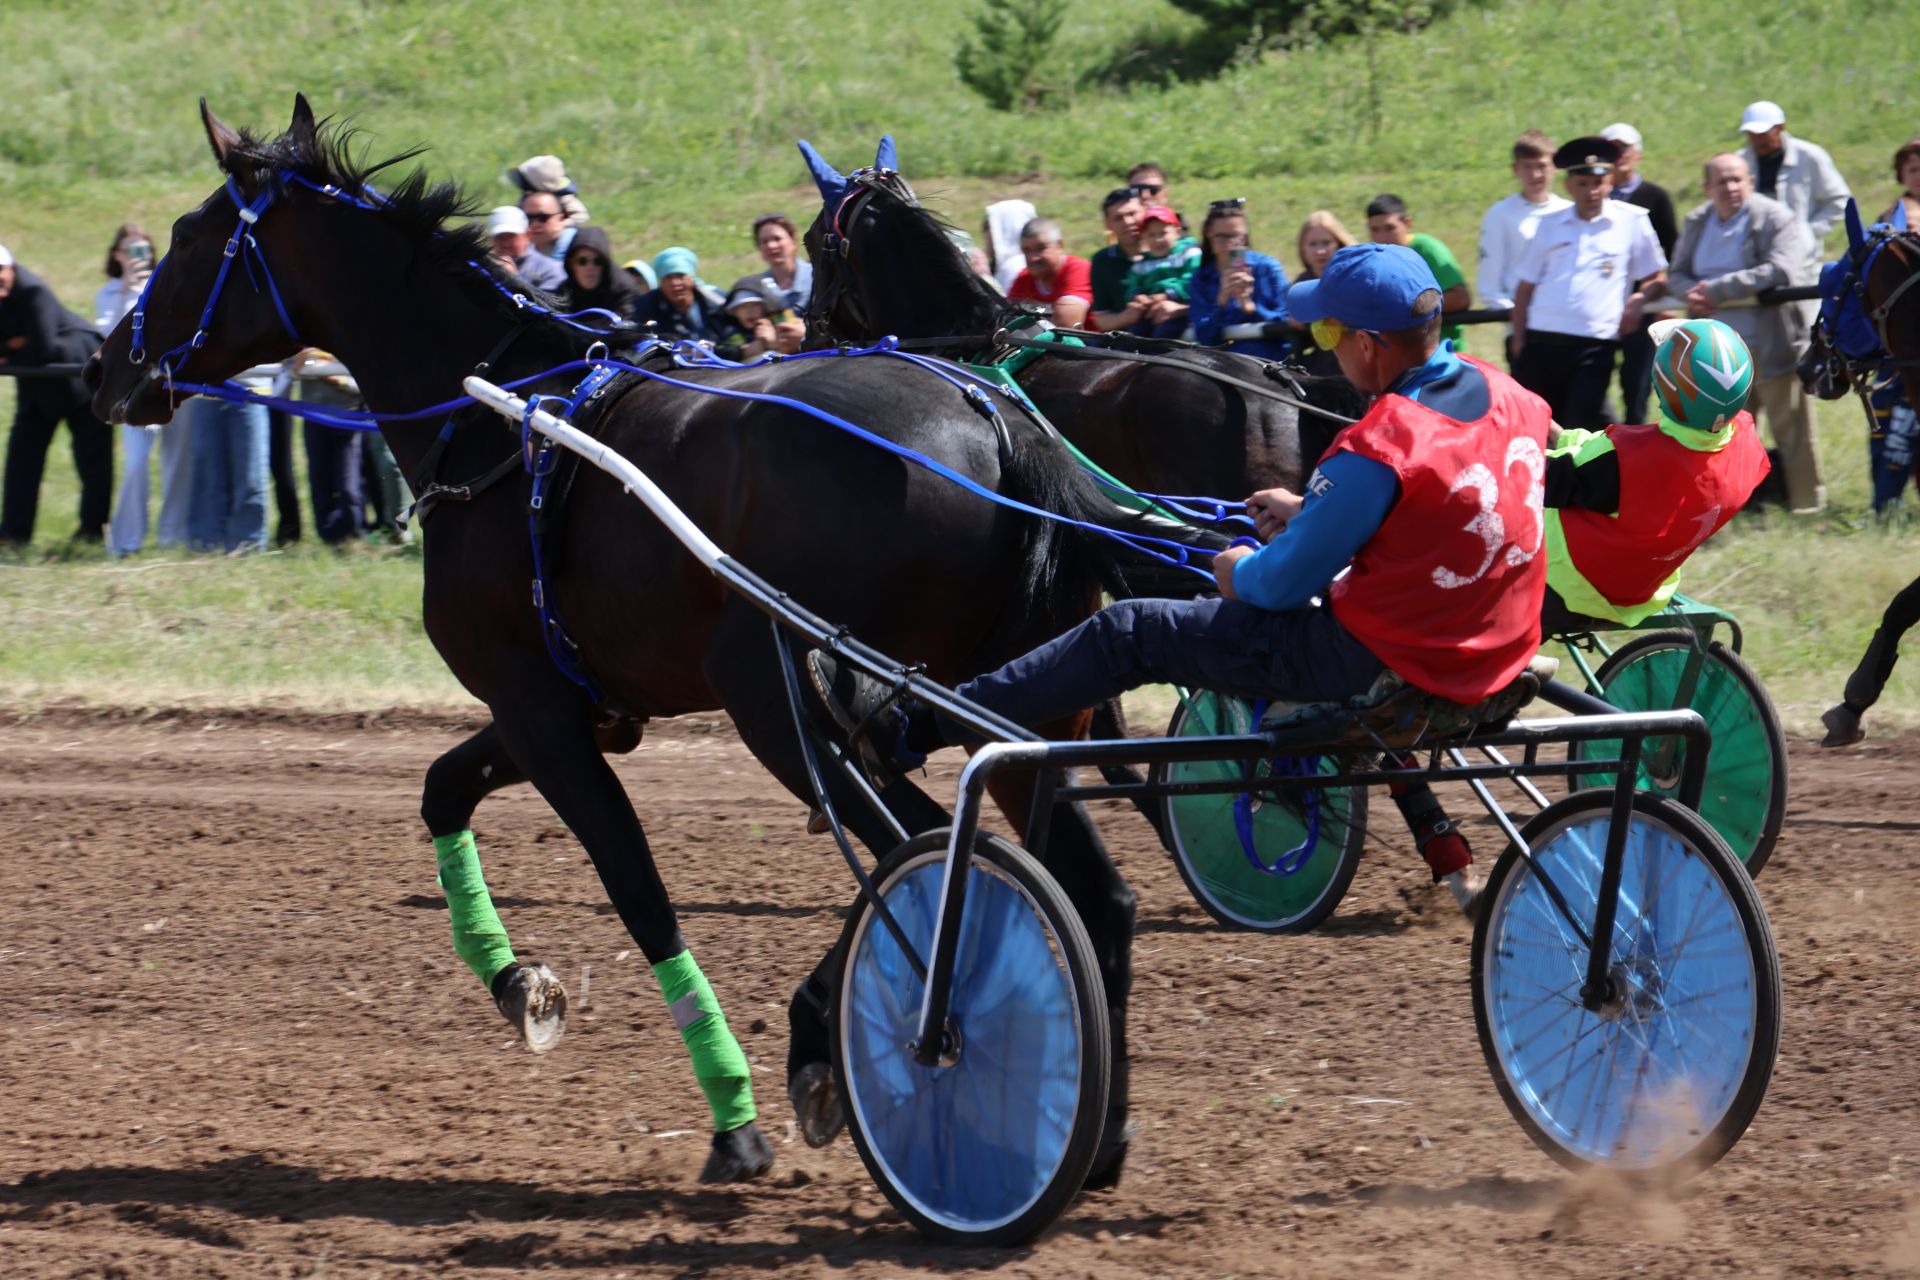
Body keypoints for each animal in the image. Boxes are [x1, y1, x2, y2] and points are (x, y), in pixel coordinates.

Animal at [90, 94, 1213, 1189]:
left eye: (186, 239)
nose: (105, 366)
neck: (500, 421)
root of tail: (994, 420)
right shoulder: (573, 702)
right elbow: (444, 791)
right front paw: (518, 981)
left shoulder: (541, 713)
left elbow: (640, 893)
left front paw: (733, 1115)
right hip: (1016, 705)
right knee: (1091, 892)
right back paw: (1094, 1134)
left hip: (784, 705)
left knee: (927, 855)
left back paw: (844, 1041)